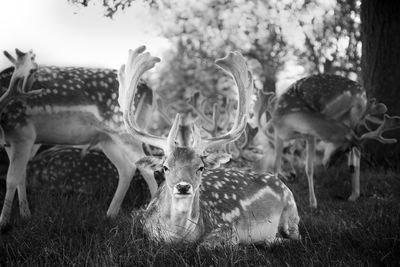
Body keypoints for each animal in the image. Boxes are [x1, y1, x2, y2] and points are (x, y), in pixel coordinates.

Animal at [0, 48, 159, 228]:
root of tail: (150, 92)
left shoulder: (23, 133)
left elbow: (11, 178)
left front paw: (3, 222)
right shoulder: (10, 142)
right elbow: (21, 176)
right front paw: (25, 215)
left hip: (123, 129)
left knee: (146, 166)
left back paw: (152, 216)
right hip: (107, 138)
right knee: (127, 168)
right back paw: (110, 214)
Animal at [119, 47, 300, 246]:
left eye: (201, 167)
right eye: (165, 167)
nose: (183, 187)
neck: (177, 236)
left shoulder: (227, 227)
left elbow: (204, 245)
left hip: (291, 209)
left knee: (297, 236)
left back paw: (269, 240)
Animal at [268, 74, 400, 209]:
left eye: (345, 149)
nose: (328, 164)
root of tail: (362, 92)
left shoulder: (310, 135)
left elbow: (309, 168)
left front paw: (313, 203)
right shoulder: (278, 134)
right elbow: (275, 165)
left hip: (341, 115)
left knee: (356, 151)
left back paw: (354, 194)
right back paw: (354, 193)